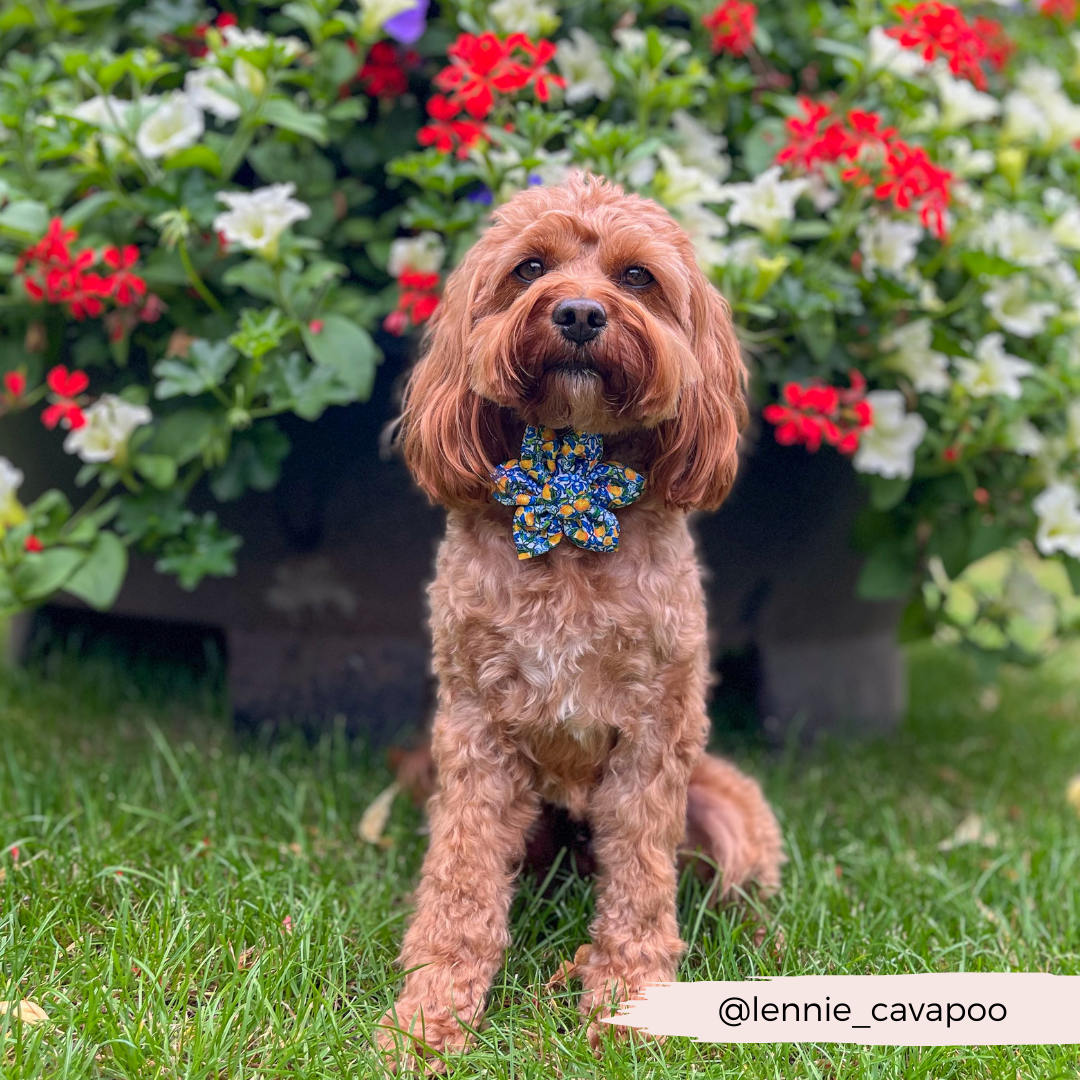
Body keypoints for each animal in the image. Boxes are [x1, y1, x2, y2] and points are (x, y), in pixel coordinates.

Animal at [380, 174, 786, 1062]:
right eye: (529, 267)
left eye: (637, 277)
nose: (577, 313)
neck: (570, 493)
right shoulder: (474, 735)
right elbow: (460, 891)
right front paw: (429, 1018)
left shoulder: (654, 740)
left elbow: (639, 889)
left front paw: (628, 1005)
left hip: (728, 805)